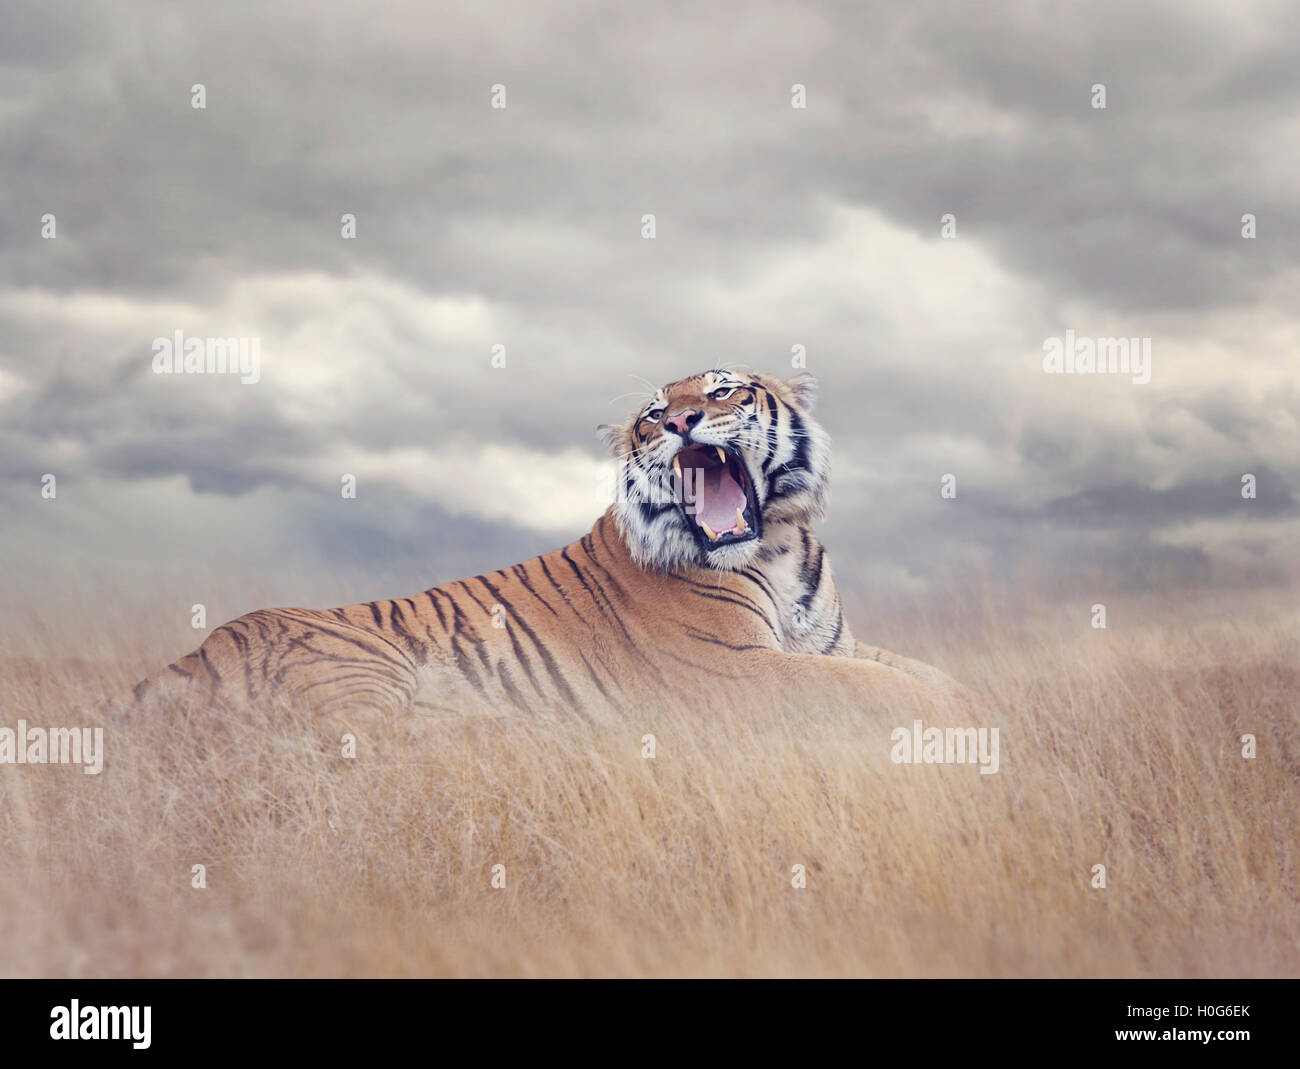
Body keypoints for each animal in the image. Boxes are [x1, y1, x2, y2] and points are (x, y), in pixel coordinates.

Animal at [134, 369, 967, 717]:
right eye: (652, 414)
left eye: (721, 389)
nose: (679, 422)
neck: (779, 548)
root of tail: (194, 652)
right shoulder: (736, 668)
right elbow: (880, 688)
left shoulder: (830, 644)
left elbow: (922, 670)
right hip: (365, 673)